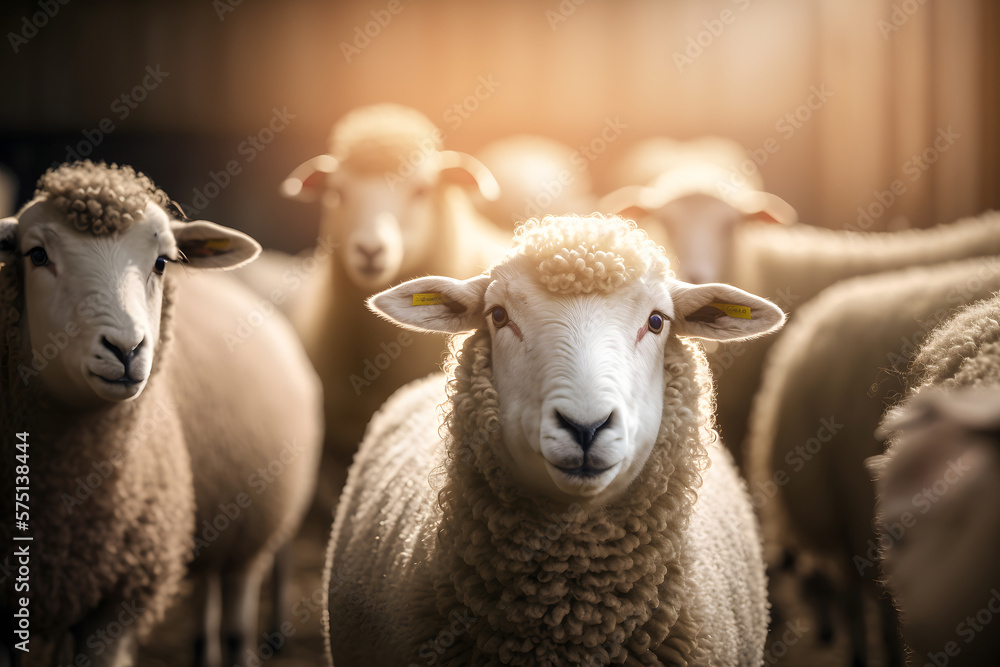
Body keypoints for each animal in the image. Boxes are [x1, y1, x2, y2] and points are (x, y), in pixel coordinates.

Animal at [0, 161, 322, 667]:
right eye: (36, 255)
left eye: (162, 262)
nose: (126, 348)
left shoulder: (119, 603)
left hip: (251, 532)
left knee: (236, 610)